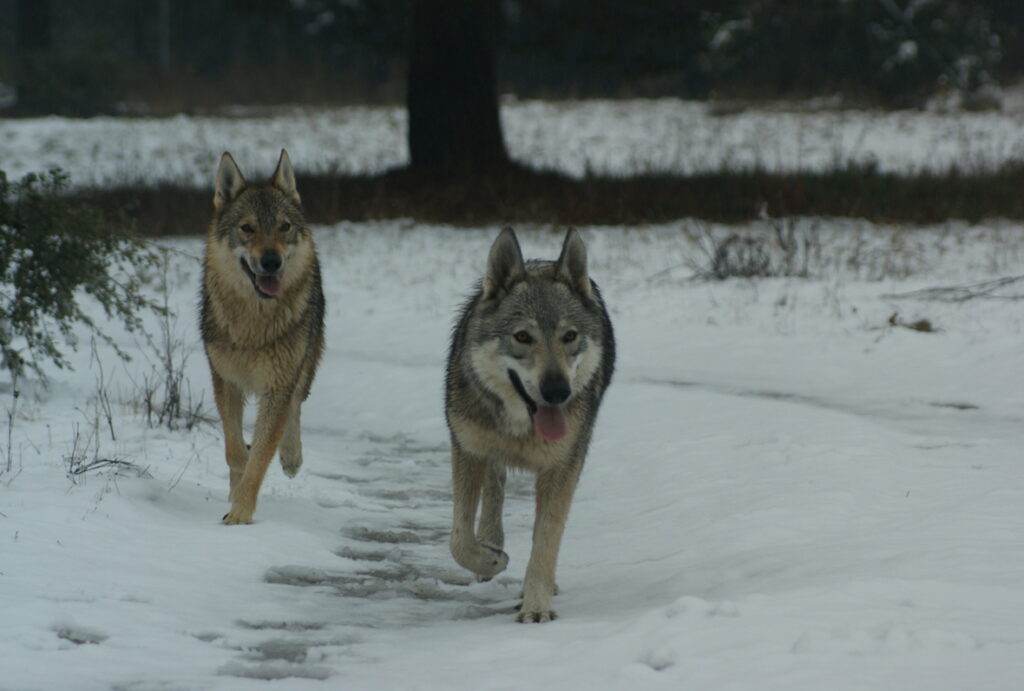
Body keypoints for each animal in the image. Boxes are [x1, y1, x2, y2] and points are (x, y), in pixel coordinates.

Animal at [200, 149, 325, 525]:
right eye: (247, 228)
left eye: (284, 227)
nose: (271, 261)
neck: (253, 326)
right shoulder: (224, 379)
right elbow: (234, 449)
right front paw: (236, 483)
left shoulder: (277, 385)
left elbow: (260, 457)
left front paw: (240, 513)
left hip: (305, 365)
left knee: (297, 406)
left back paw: (291, 458)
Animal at [445, 227, 615, 622]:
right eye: (523, 336)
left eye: (569, 336)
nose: (557, 391)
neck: (520, 426)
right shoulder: (466, 451)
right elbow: (459, 539)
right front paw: (491, 560)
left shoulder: (562, 468)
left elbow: (546, 539)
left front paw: (537, 606)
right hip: (486, 457)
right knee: (493, 495)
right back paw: (491, 549)